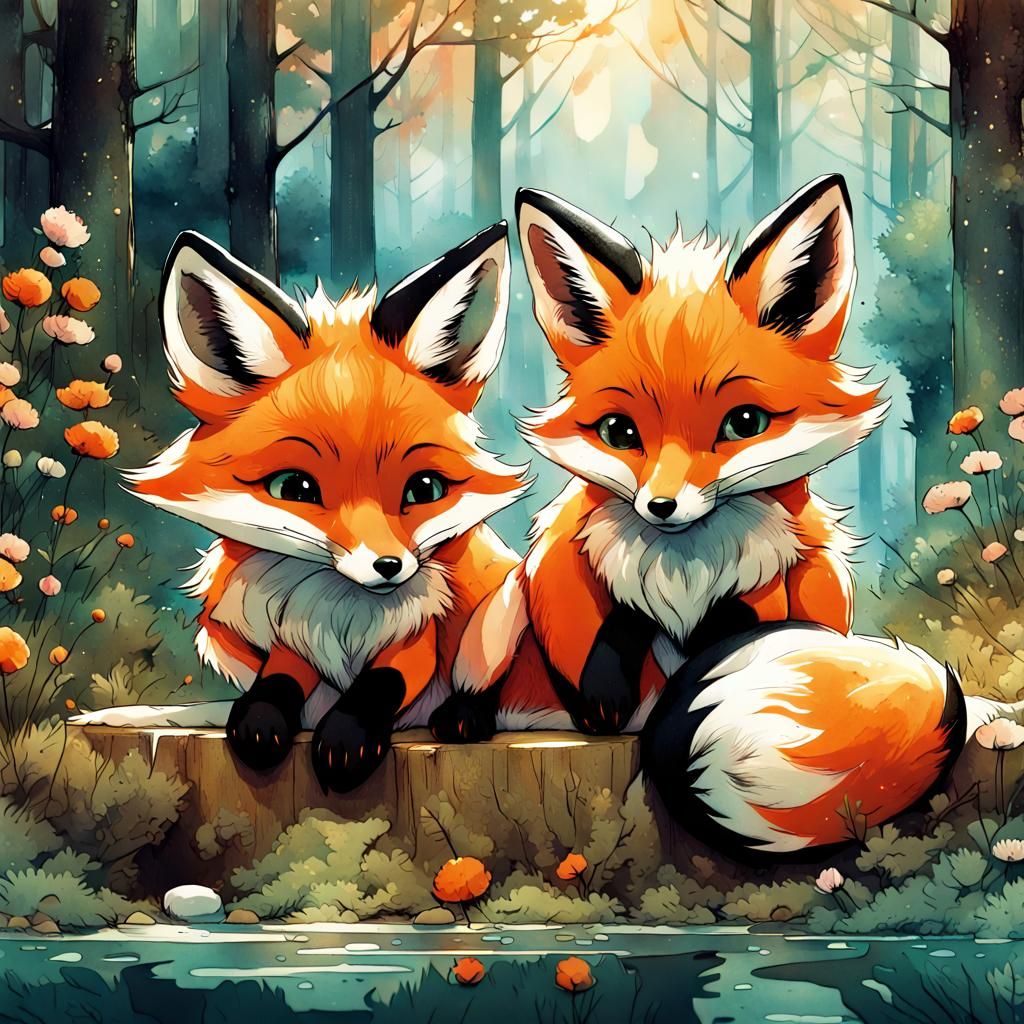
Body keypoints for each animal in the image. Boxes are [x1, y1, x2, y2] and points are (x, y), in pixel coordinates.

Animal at [72, 223, 528, 793]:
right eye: (294, 487)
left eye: (424, 489)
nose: (389, 567)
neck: (342, 610)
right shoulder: (290, 638)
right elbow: (277, 685)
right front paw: (259, 724)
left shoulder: (416, 637)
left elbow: (382, 684)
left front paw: (349, 739)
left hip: (498, 610)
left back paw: (466, 718)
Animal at [430, 176, 1024, 853]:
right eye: (619, 431)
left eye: (744, 423)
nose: (661, 506)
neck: (686, 567)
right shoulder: (565, 564)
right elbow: (603, 623)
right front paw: (605, 689)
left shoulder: (782, 591)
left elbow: (736, 622)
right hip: (501, 616)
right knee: (482, 670)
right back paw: (466, 716)